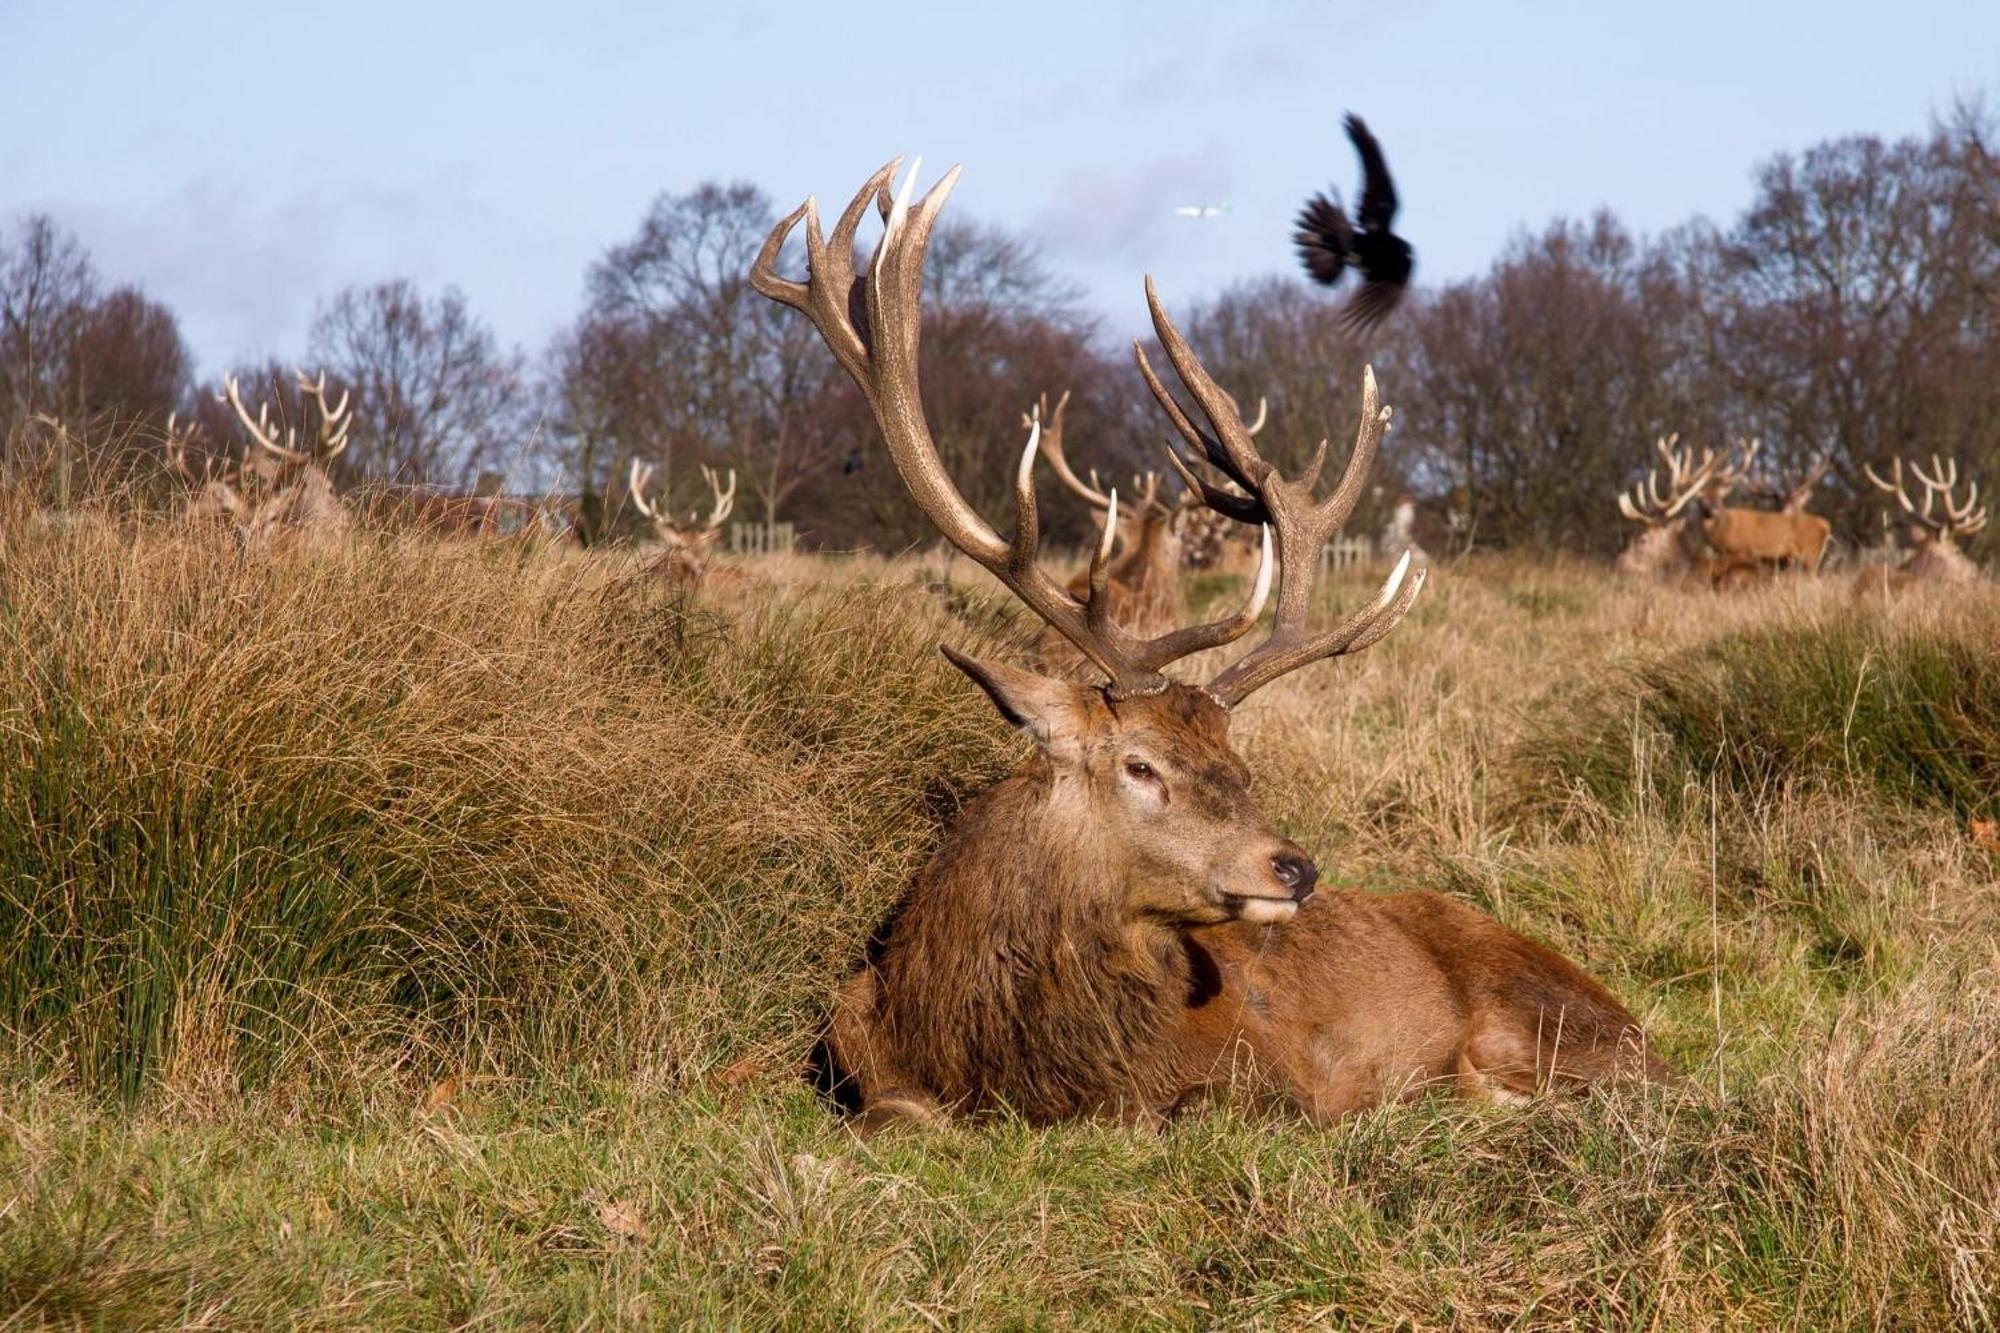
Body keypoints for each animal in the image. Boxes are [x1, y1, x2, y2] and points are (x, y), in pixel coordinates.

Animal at [752, 161, 1672, 1128]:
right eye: (1141, 764)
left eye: (1240, 763)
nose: (1294, 866)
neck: (995, 1057)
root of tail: (1650, 1039)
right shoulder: (854, 1047)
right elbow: (894, 1109)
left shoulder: (1260, 1076)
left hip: (1539, 1024)